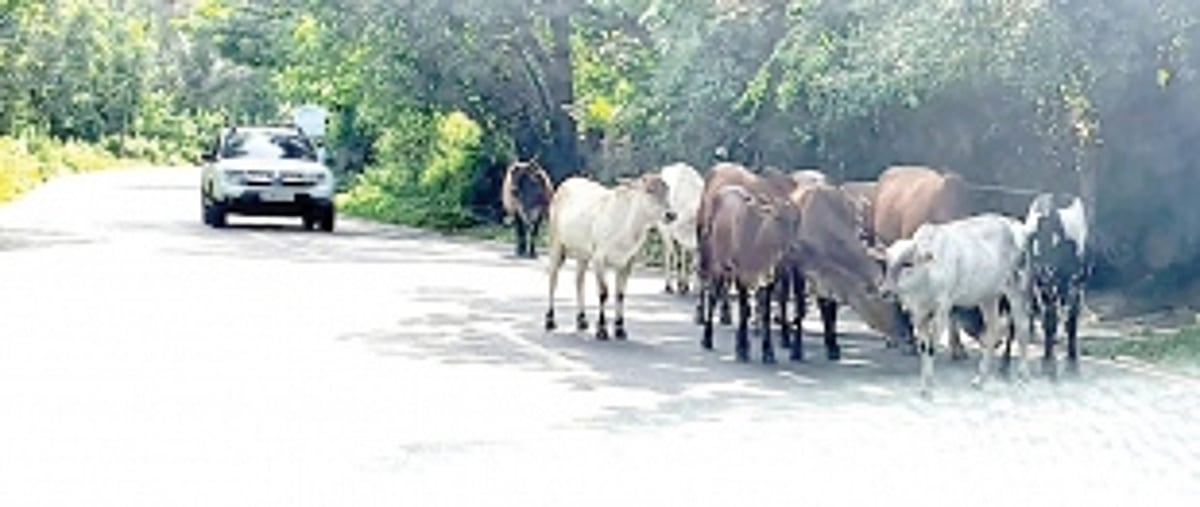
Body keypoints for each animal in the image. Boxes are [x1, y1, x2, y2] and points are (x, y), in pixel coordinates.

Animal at [544, 173, 676, 341]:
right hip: (556, 245)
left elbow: (620, 294)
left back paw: (582, 320)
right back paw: (550, 320)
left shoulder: (627, 262)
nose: (671, 214)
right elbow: (603, 293)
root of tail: (565, 184)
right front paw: (602, 330)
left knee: (579, 281)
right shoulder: (599, 260)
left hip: (583, 256)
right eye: (649, 190)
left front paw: (620, 329)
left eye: (667, 191)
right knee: (553, 280)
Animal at [881, 214, 1033, 397]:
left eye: (907, 264)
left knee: (1022, 325)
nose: (884, 291)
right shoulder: (918, 313)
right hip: (988, 296)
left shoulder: (942, 308)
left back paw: (1024, 374)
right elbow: (923, 347)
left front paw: (928, 388)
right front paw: (924, 386)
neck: (927, 275)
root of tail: (1016, 224)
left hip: (1016, 288)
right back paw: (980, 379)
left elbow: (931, 347)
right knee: (993, 329)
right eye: (887, 263)